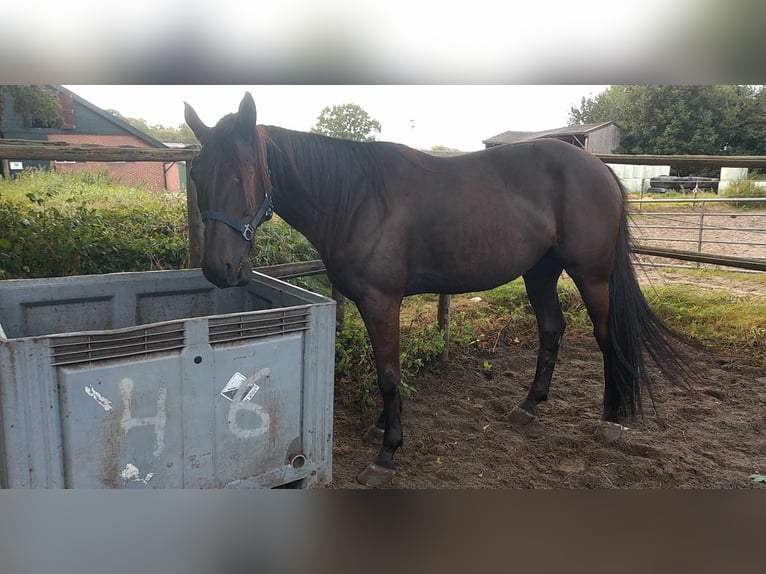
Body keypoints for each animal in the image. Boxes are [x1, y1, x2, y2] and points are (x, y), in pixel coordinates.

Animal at [184, 92, 688, 488]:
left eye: (243, 174)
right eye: (197, 175)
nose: (218, 269)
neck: (357, 199)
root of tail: (601, 169)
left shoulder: (382, 301)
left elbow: (389, 373)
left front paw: (386, 454)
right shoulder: (371, 304)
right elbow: (385, 366)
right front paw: (380, 429)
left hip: (592, 275)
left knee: (606, 338)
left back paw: (611, 420)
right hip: (540, 272)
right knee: (551, 328)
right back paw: (528, 407)